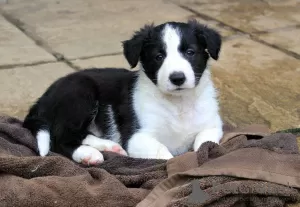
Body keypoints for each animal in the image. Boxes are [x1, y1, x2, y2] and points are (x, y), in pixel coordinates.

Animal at [23, 19, 224, 165]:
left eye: (190, 52)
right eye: (158, 57)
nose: (177, 78)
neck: (178, 103)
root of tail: (42, 99)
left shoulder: (212, 126)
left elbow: (204, 143)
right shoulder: (137, 138)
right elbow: (164, 153)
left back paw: (109, 146)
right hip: (80, 93)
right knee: (61, 137)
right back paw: (88, 154)